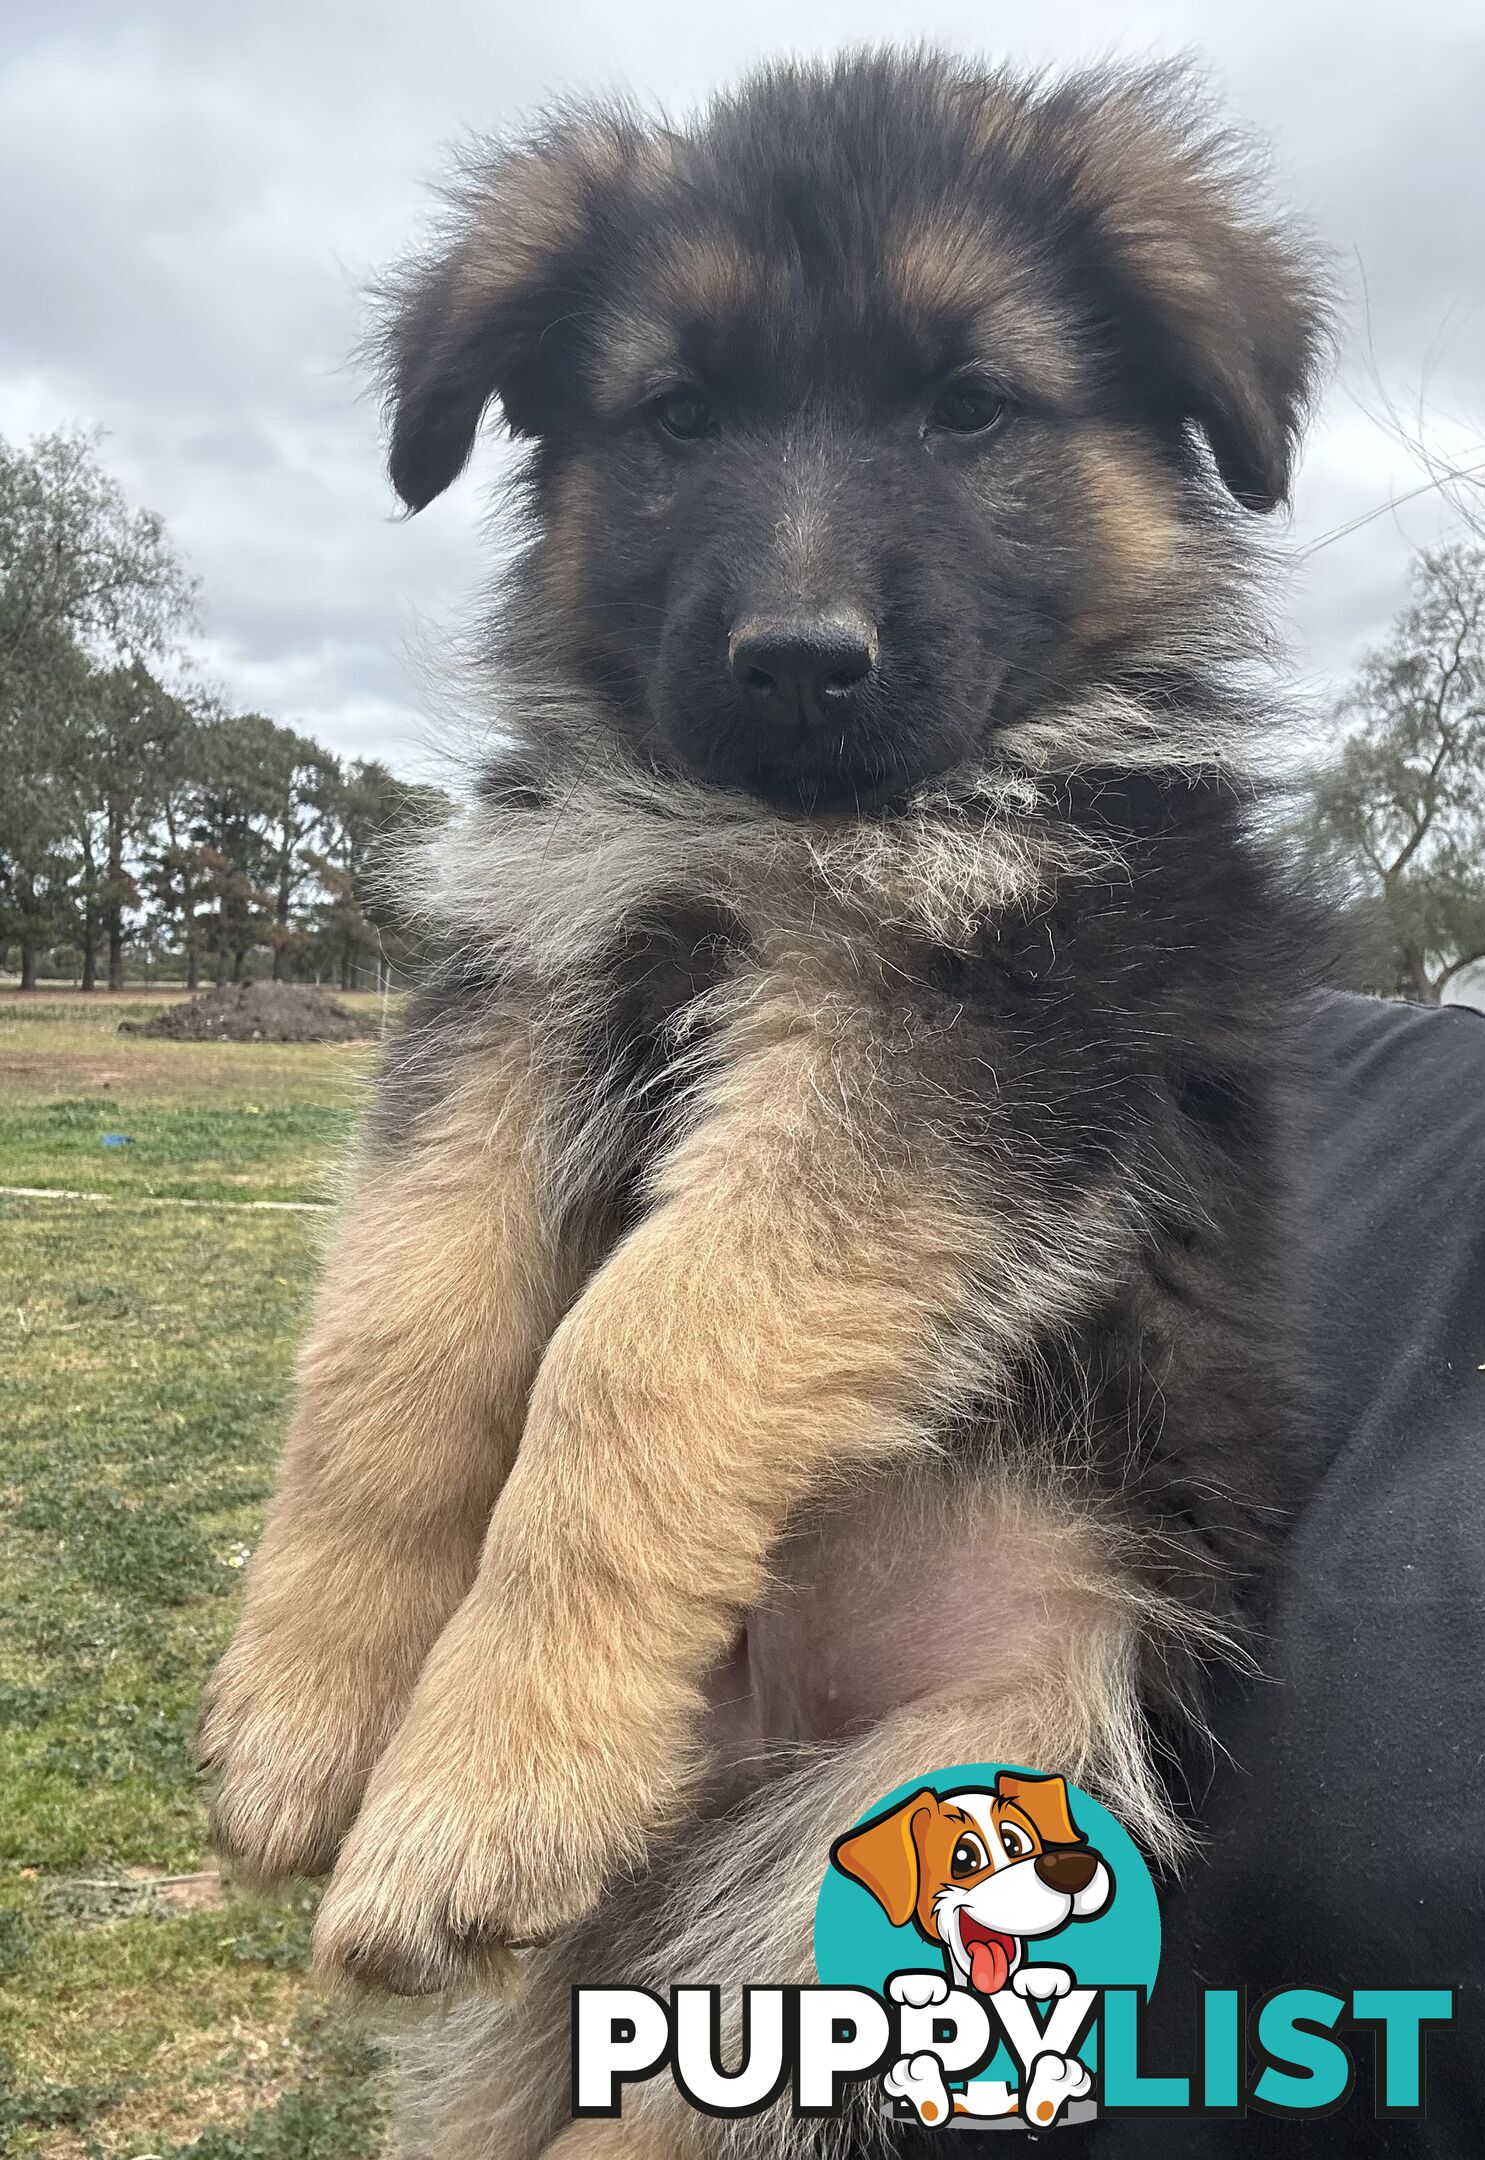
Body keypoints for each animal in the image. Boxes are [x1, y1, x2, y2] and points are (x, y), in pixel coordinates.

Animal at [194, 50, 1320, 2160]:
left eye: (971, 406)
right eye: (680, 415)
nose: (800, 664)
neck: (771, 834)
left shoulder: (980, 1048)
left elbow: (638, 1353)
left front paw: (487, 1779)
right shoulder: (525, 976)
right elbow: (398, 1338)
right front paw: (305, 1710)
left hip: (872, 1882)